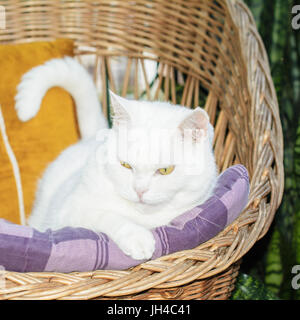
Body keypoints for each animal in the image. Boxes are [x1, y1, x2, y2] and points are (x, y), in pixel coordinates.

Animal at [15, 57, 217, 262]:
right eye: (126, 165)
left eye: (165, 170)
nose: (139, 190)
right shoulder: (69, 211)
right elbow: (107, 216)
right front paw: (137, 237)